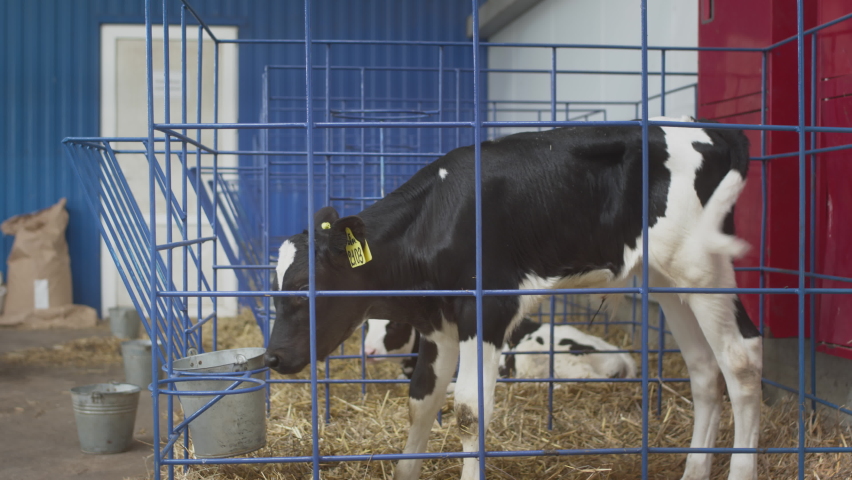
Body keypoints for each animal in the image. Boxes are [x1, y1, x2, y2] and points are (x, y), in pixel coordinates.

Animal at [266, 117, 762, 480]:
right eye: (274, 289)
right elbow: (420, 402)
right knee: (704, 369)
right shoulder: (440, 323)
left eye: (301, 289)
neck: (435, 217)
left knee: (741, 358)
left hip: (703, 266)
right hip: (670, 283)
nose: (271, 357)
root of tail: (710, 129)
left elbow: (469, 411)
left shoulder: (487, 308)